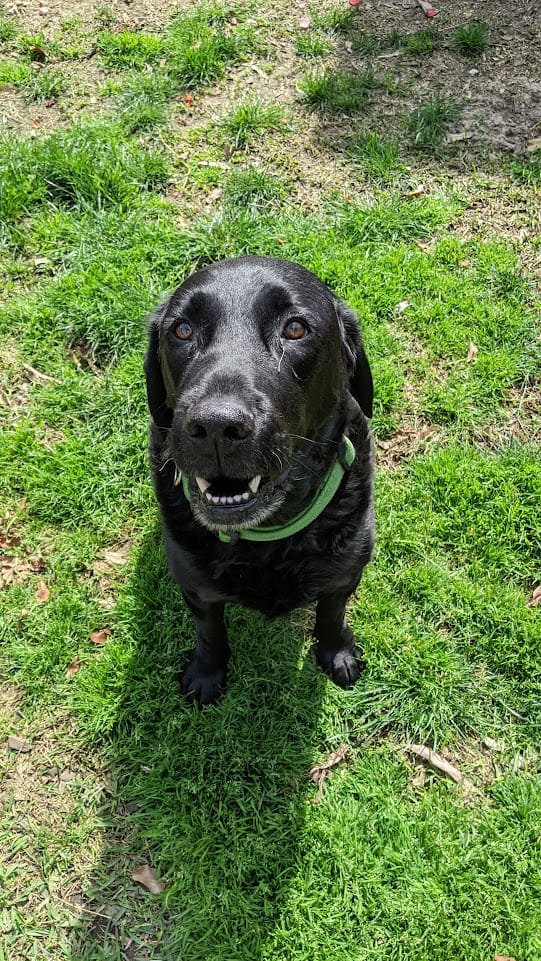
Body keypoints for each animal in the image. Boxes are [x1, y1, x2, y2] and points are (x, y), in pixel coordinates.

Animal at [143, 255, 374, 704]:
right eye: (182, 330)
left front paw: (337, 652)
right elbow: (209, 631)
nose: (217, 426)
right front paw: (206, 673)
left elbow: (332, 611)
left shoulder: (346, 571)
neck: (269, 539)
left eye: (295, 328)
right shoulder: (195, 588)